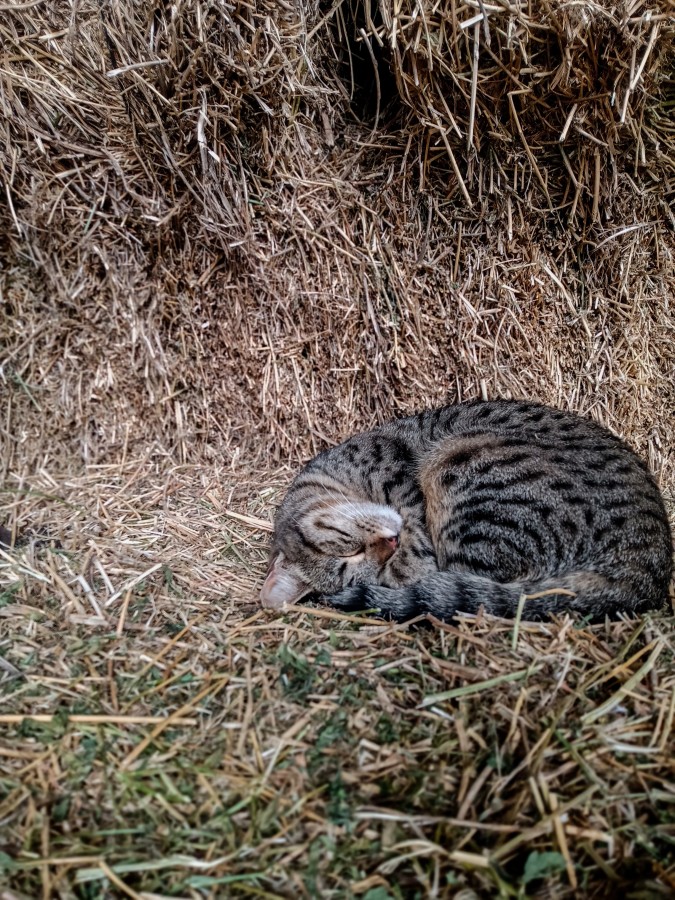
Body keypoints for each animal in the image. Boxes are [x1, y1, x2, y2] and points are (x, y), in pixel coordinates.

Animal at [262, 402, 672, 624]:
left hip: (460, 462)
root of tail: (646, 563)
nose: (391, 543)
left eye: (349, 550)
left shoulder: (400, 482)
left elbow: (414, 552)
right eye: (352, 562)